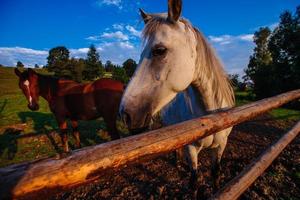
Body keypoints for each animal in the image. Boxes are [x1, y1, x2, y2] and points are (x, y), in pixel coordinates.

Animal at [119, 0, 234, 194]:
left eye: (159, 50)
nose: (126, 114)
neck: (212, 115)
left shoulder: (221, 146)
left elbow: (215, 173)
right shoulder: (191, 148)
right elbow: (194, 180)